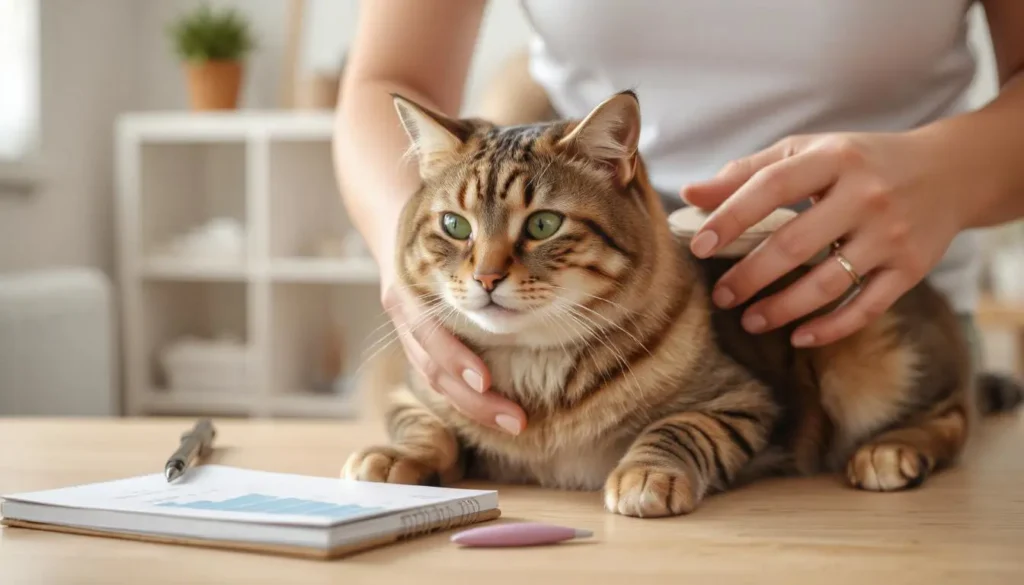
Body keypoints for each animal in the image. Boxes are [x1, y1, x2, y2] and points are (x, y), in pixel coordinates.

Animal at [346, 88, 1024, 516]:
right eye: (455, 226)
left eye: (541, 225)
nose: (486, 278)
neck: (535, 372)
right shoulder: (417, 388)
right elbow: (422, 426)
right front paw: (395, 458)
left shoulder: (742, 399)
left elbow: (678, 428)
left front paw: (647, 473)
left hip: (876, 357)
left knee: (954, 416)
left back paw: (890, 450)